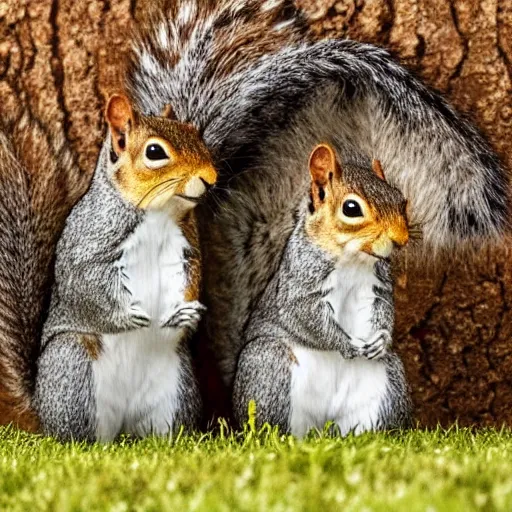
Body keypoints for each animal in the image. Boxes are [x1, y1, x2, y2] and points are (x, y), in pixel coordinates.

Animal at [32, 93, 216, 440]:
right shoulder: (89, 244)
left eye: (196, 135)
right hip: (71, 367)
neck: (158, 213)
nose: (211, 180)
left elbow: (192, 278)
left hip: (177, 386)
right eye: (155, 152)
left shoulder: (187, 250)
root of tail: (122, 427)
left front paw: (185, 314)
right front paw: (124, 316)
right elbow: (84, 283)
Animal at [232, 144, 412, 436]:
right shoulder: (300, 282)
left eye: (402, 200)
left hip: (387, 381)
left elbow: (384, 307)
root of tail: (322, 426)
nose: (400, 240)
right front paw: (345, 344)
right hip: (266, 366)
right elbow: (307, 315)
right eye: (351, 208)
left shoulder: (377, 286)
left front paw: (382, 339)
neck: (352, 258)